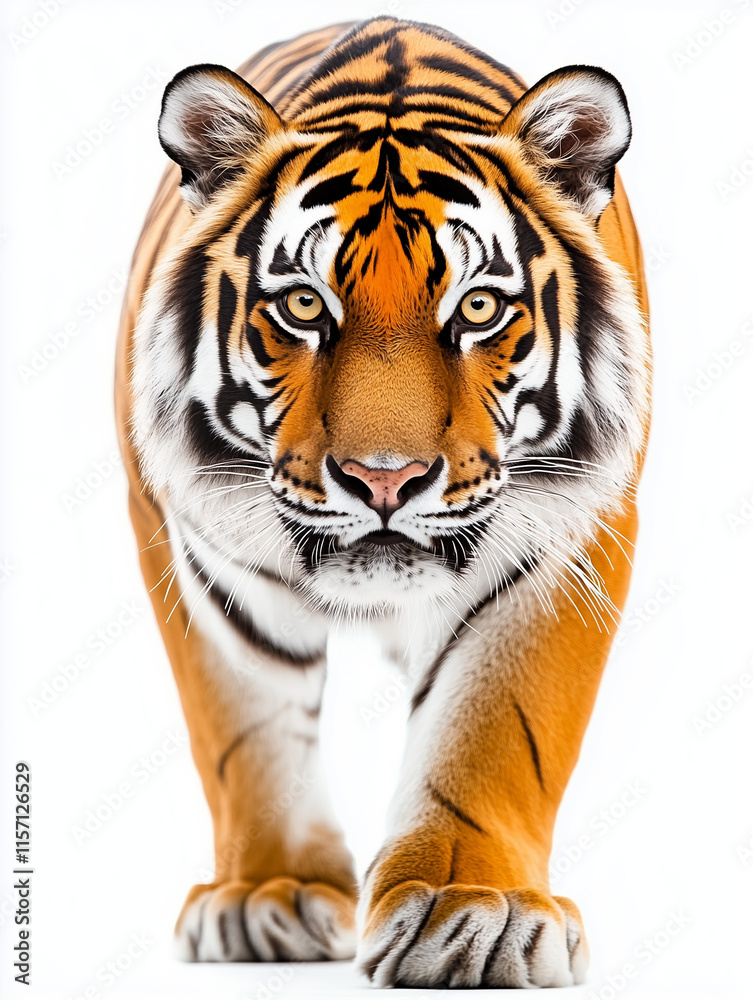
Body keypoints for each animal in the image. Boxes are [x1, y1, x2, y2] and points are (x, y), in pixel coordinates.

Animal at [115, 16, 651, 989]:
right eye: (302, 306)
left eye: (476, 309)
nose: (384, 480)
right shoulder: (192, 548)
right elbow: (245, 728)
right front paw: (268, 891)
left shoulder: (566, 538)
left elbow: (496, 725)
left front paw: (473, 907)